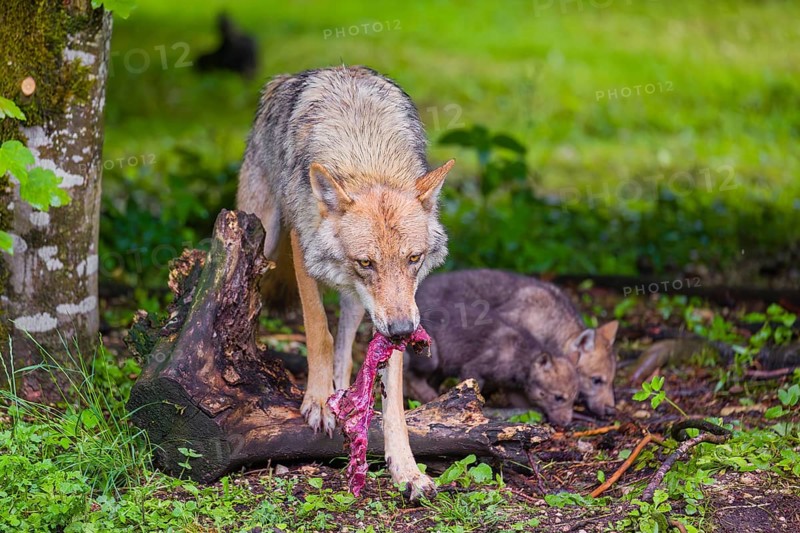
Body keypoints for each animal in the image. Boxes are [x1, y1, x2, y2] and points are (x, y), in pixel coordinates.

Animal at [237, 65, 455, 498]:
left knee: (347, 344)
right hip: (262, 237)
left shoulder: (399, 307)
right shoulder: (302, 247)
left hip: (357, 301)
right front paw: (319, 402)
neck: (366, 156)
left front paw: (405, 468)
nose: (403, 330)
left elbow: (392, 388)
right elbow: (317, 330)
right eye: (366, 262)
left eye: (414, 259)